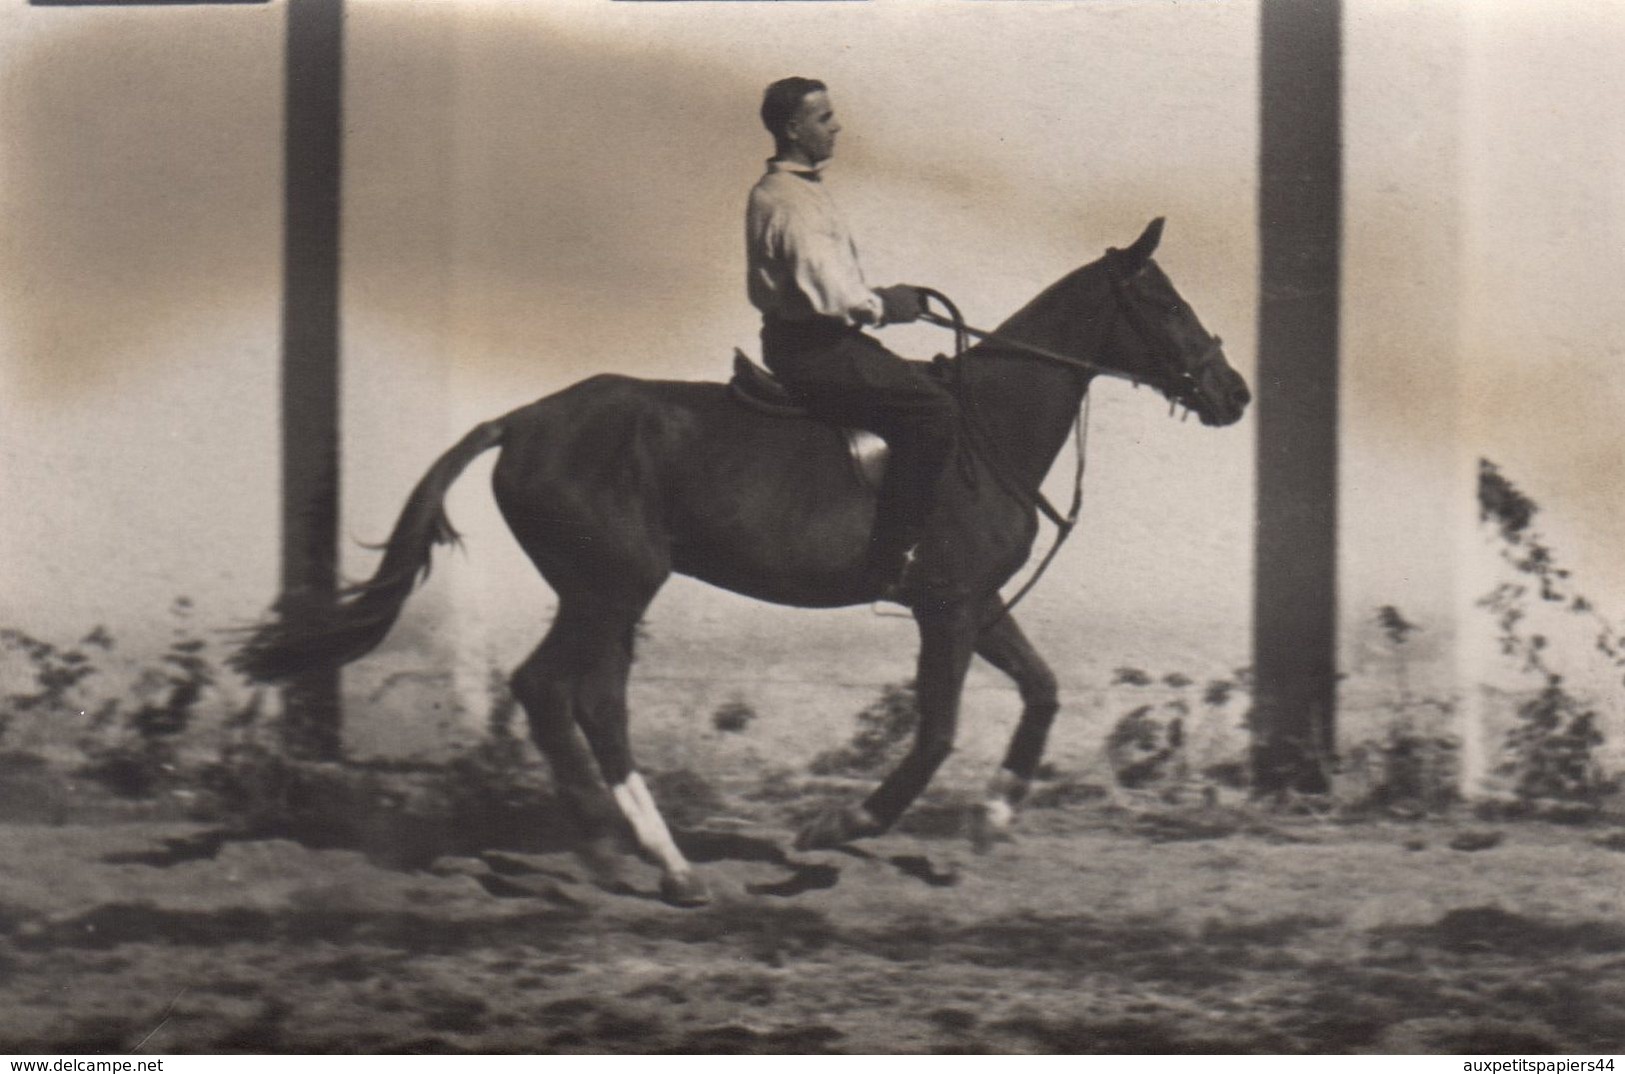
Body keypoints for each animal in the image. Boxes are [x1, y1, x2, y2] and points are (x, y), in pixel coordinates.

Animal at [232, 217, 1241, 903]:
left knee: (594, 702)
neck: (983, 425)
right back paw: (611, 851)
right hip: (608, 588)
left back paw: (667, 862)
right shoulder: (947, 606)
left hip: (609, 595)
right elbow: (937, 730)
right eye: (1162, 301)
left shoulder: (975, 601)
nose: (1233, 391)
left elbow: (1041, 692)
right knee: (549, 690)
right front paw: (838, 824)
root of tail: (519, 421)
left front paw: (989, 827)